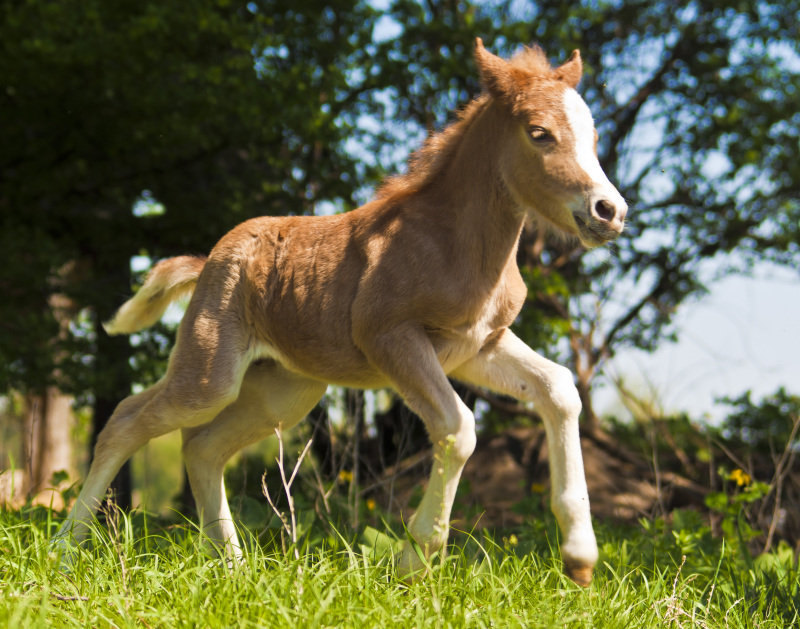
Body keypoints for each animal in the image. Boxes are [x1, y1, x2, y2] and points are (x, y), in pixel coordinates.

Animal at [53, 39, 628, 588]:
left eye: (594, 136)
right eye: (539, 133)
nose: (609, 211)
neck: (453, 242)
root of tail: (209, 259)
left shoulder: (478, 346)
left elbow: (559, 389)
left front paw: (580, 560)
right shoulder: (391, 337)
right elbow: (458, 427)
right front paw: (413, 561)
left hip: (282, 389)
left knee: (203, 447)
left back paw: (234, 566)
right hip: (210, 373)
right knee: (129, 419)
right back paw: (64, 547)